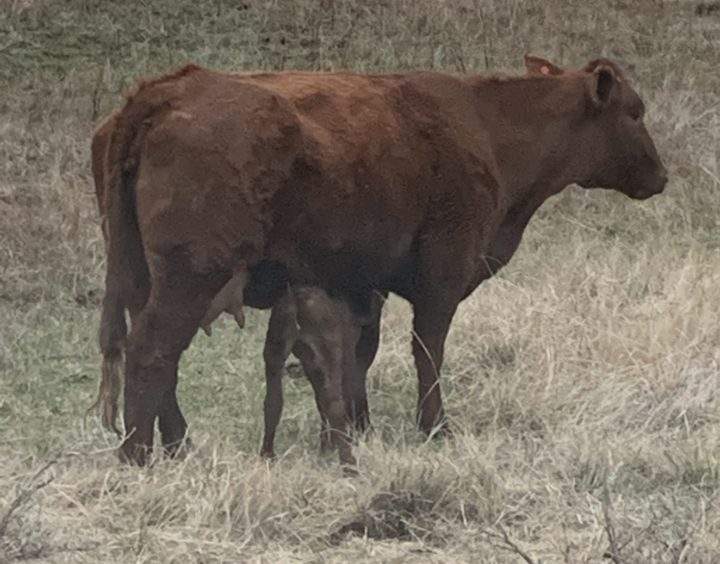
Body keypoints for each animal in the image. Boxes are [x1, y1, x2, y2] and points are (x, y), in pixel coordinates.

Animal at [97, 55, 667, 468]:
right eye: (635, 112)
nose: (661, 176)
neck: (488, 128)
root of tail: (169, 90)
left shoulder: (361, 282)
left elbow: (358, 354)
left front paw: (358, 427)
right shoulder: (442, 274)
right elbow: (428, 351)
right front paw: (435, 427)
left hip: (145, 277)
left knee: (156, 357)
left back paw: (178, 445)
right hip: (189, 277)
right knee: (151, 351)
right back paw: (139, 455)